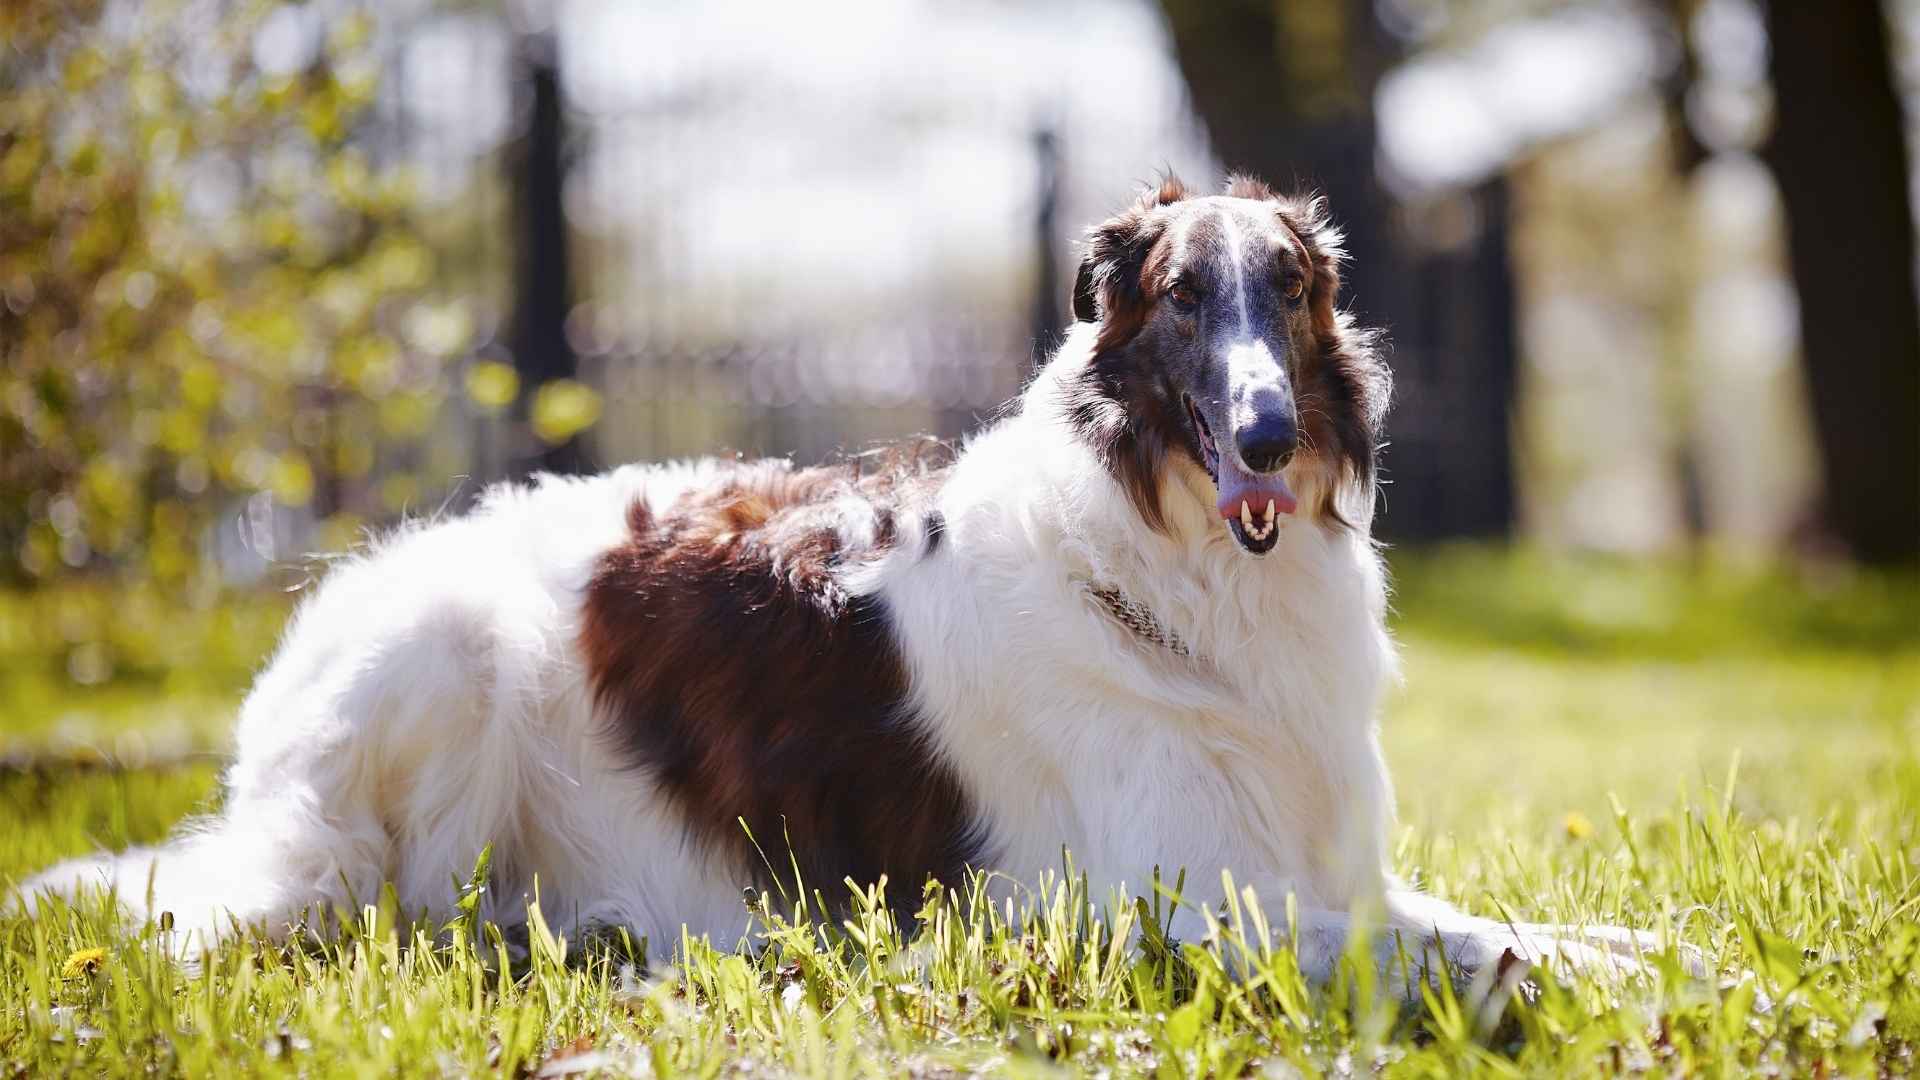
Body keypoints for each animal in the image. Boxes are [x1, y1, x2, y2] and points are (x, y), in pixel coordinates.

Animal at [26, 174, 1681, 983]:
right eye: (1175, 298)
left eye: (1291, 288)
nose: (1271, 437)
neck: (1160, 571)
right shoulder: (1176, 907)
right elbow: (1480, 952)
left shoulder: (1322, 869)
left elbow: (1504, 927)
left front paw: (1656, 954)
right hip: (442, 661)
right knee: (300, 912)